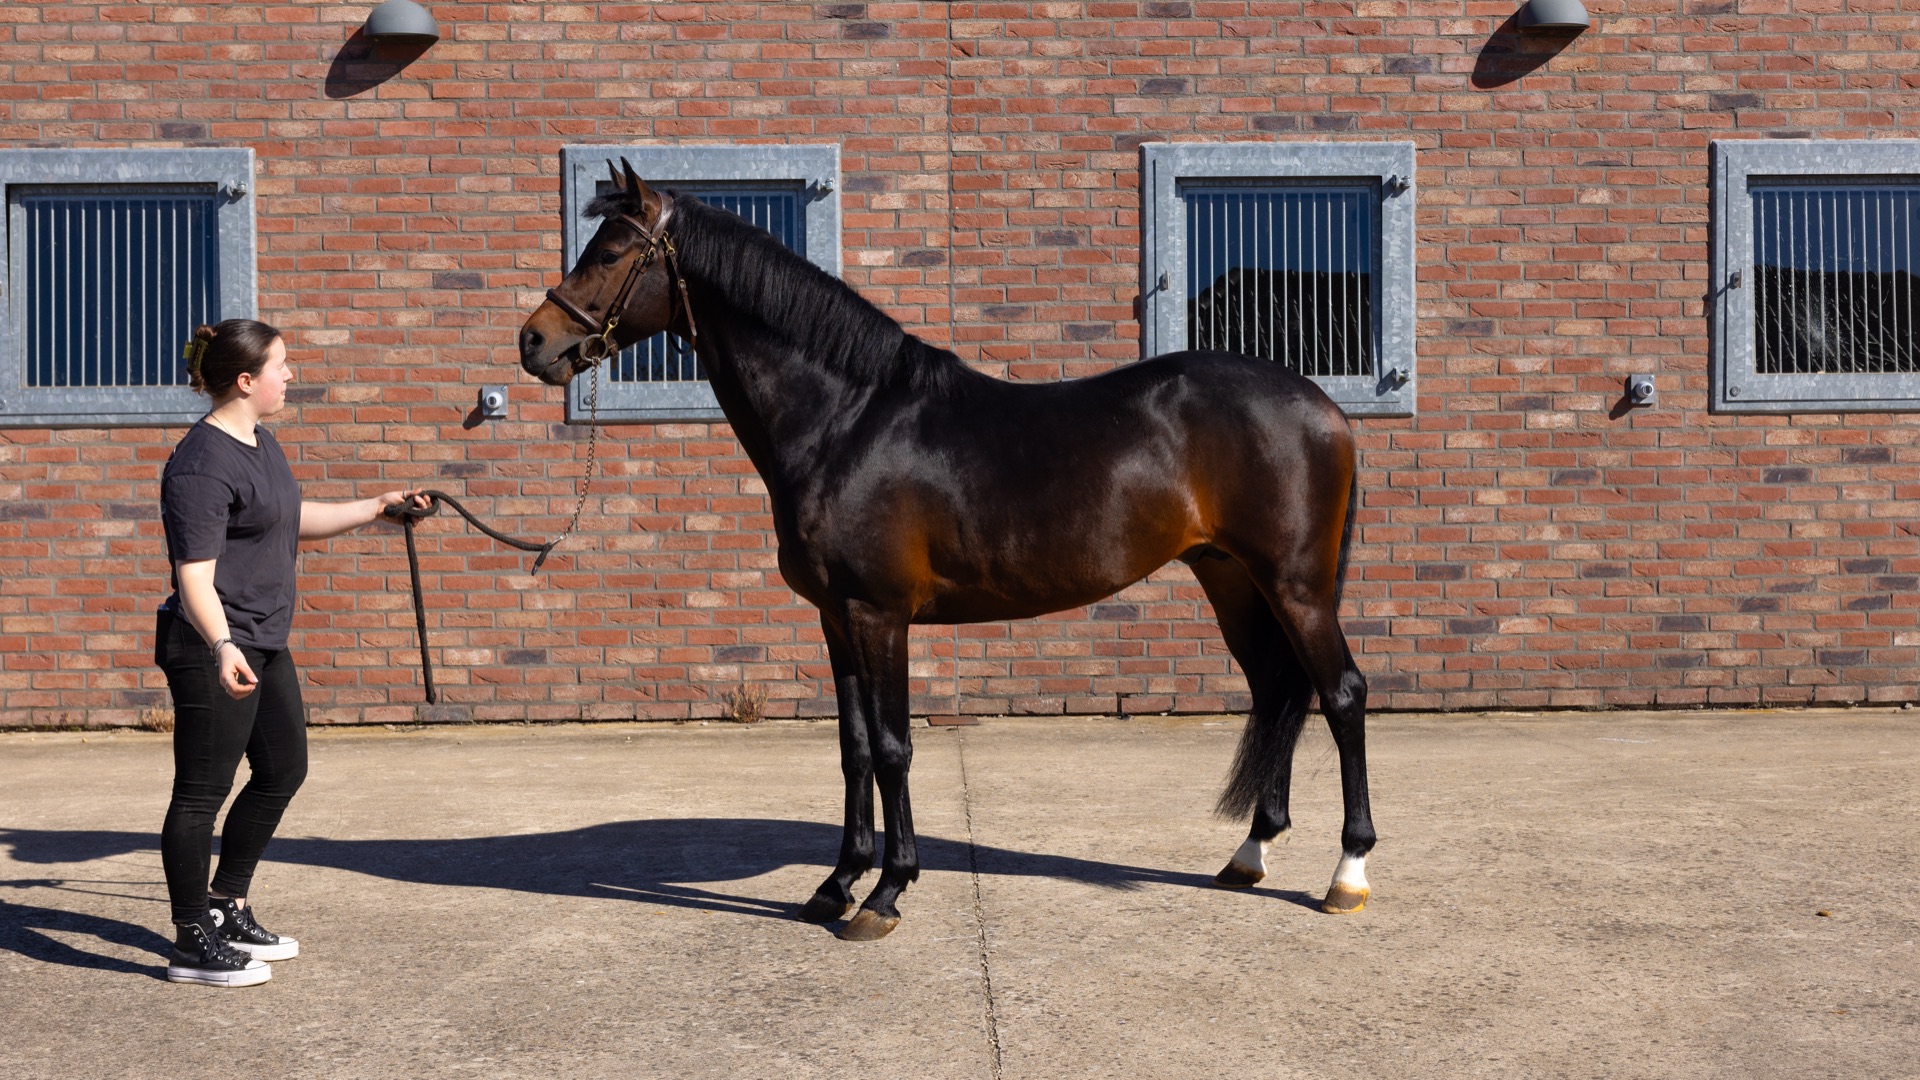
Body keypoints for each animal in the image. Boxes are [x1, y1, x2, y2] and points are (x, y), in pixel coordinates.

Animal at [516, 160, 1374, 942]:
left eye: (610, 254)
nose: (534, 341)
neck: (847, 421)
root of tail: (1323, 407)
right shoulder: (836, 619)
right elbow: (855, 747)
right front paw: (836, 884)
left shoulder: (879, 614)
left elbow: (895, 746)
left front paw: (887, 892)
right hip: (1231, 580)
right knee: (1277, 688)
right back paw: (1250, 853)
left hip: (1295, 586)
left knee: (1341, 694)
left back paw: (1348, 873)